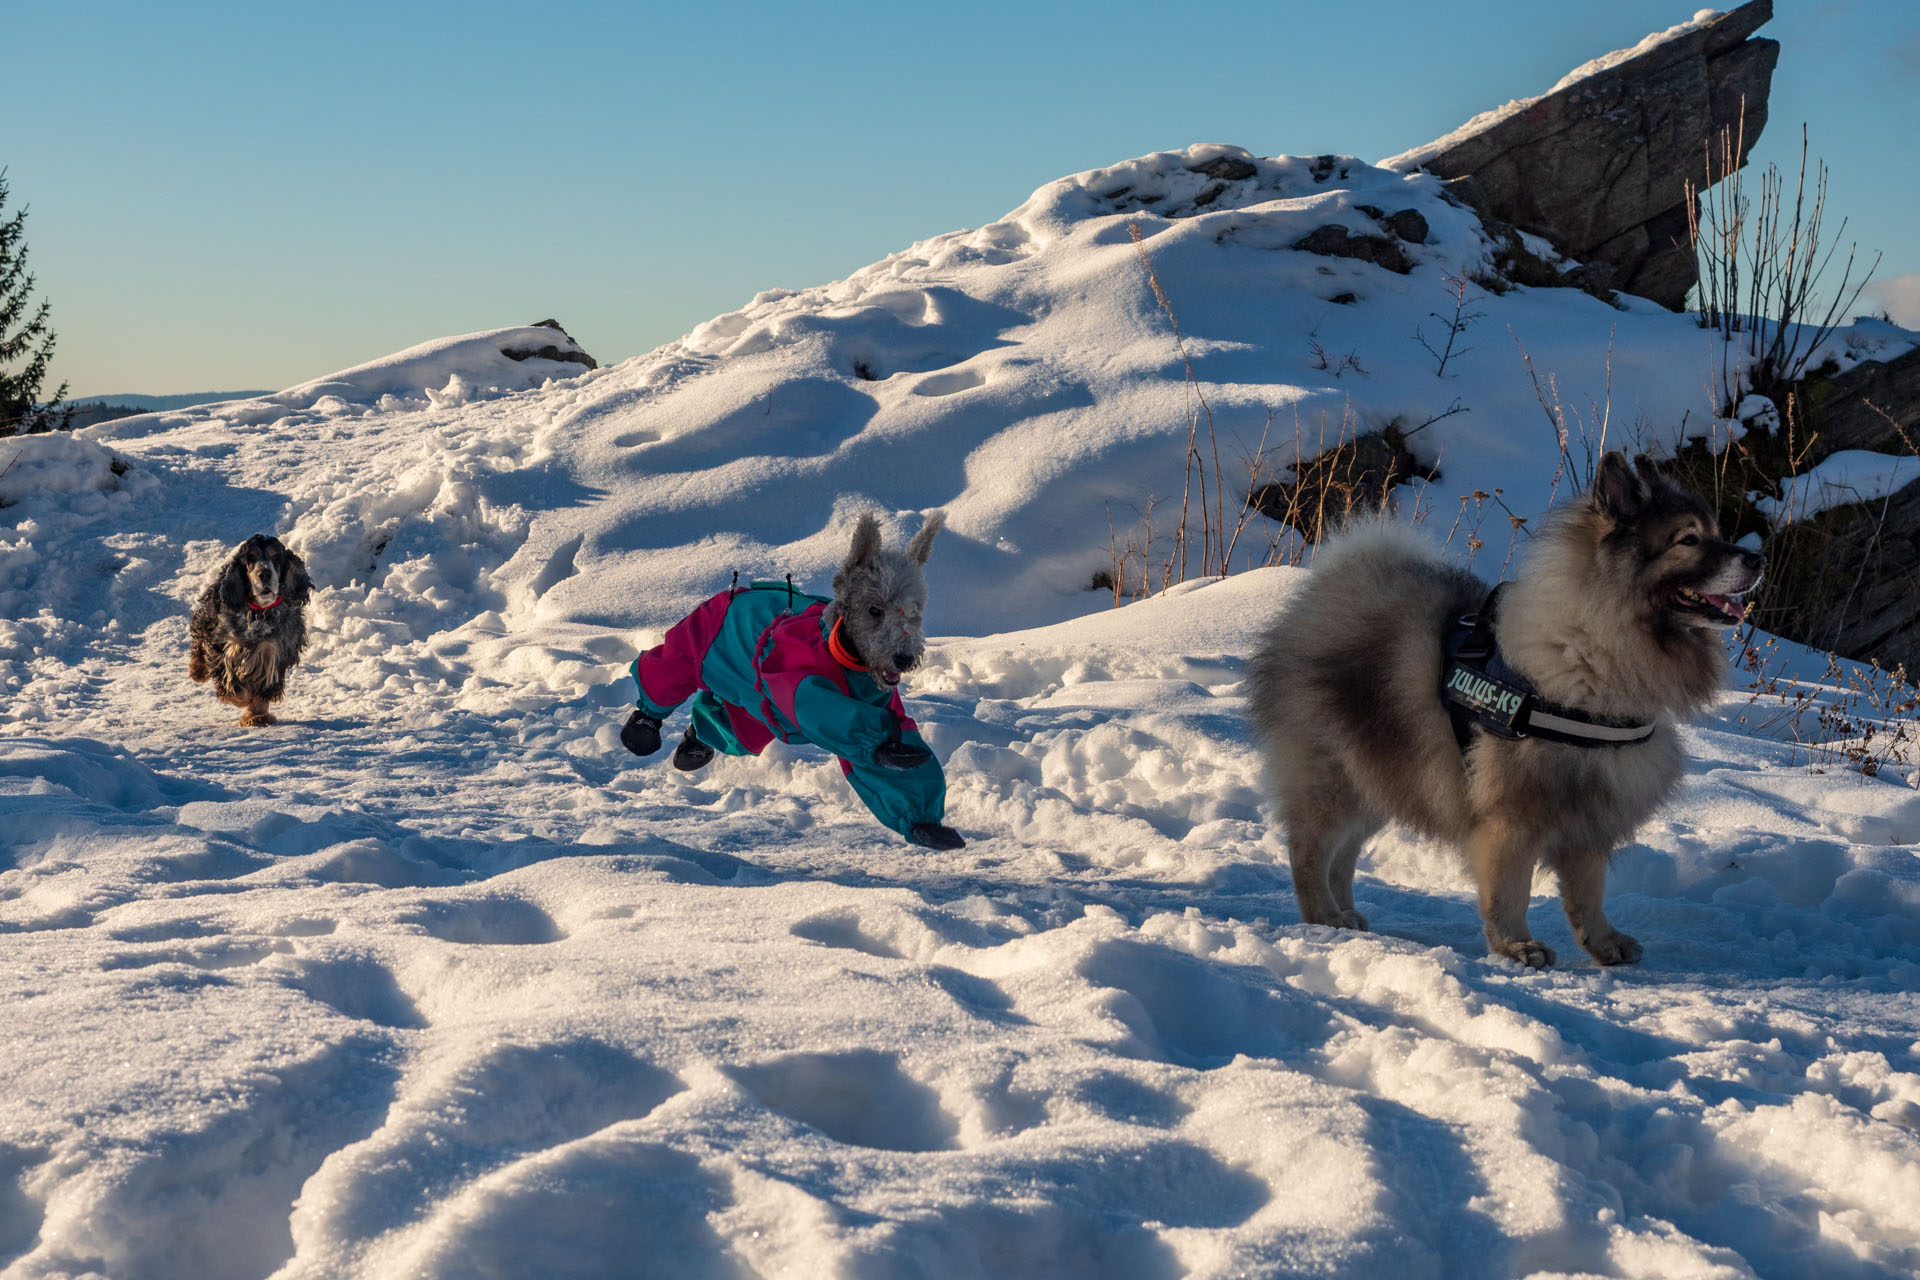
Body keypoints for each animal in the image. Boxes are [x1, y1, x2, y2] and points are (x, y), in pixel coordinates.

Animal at [187, 533, 311, 729]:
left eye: (276, 557)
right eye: (250, 558)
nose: (264, 573)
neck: (261, 612)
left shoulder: (274, 652)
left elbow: (263, 687)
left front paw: (257, 715)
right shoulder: (226, 644)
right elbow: (233, 684)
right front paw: (240, 699)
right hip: (210, 614)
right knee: (200, 633)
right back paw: (198, 670)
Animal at [1251, 454, 1758, 967]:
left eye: (1716, 532)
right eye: (1688, 540)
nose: (1756, 558)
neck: (1592, 652)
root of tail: (1325, 595)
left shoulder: (1589, 813)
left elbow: (1588, 893)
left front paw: (1602, 942)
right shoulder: (1513, 814)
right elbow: (1510, 891)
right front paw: (1516, 945)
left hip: (1380, 776)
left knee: (1344, 855)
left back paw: (1347, 914)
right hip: (1334, 778)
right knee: (1311, 851)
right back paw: (1323, 916)